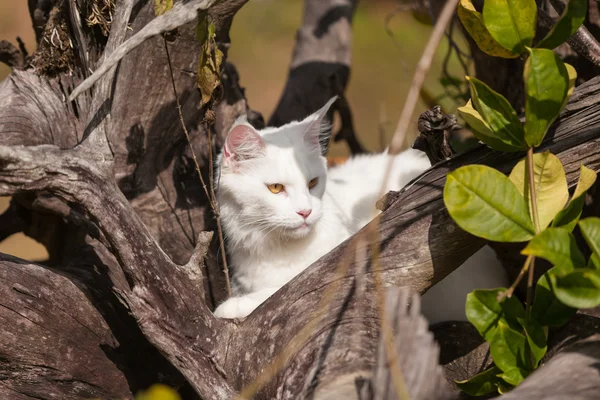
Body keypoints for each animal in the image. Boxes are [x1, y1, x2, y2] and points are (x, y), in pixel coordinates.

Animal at [212, 97, 506, 322]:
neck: (274, 248)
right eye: (275, 188)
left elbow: (280, 292)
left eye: (312, 183)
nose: (306, 212)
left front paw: (233, 306)